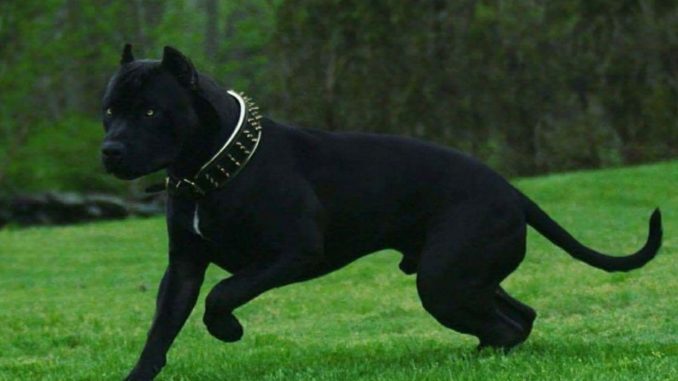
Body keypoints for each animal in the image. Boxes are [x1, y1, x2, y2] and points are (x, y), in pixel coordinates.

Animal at [102, 46, 664, 378]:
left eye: (151, 111)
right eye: (109, 111)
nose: (109, 150)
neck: (212, 166)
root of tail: (511, 189)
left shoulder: (293, 253)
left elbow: (224, 292)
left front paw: (228, 330)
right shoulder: (182, 267)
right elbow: (162, 326)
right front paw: (139, 375)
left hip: (444, 279)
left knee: (505, 323)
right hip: (465, 276)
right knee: (516, 316)